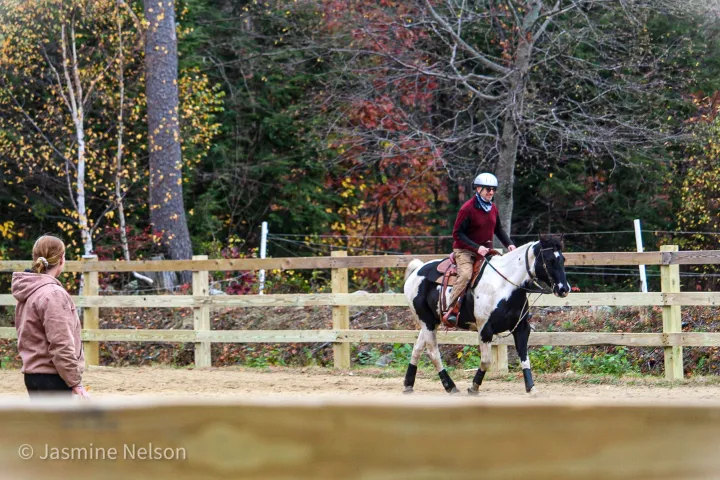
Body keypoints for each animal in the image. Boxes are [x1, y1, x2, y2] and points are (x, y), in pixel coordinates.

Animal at [401, 236, 570, 396]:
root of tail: (417, 269)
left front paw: (532, 388)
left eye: (562, 259)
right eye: (549, 259)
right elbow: (486, 361)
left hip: (431, 322)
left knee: (417, 349)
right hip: (426, 321)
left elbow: (524, 358)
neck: (504, 286)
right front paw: (474, 387)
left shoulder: (521, 328)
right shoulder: (485, 330)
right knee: (433, 353)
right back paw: (450, 386)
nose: (564, 288)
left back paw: (408, 384)